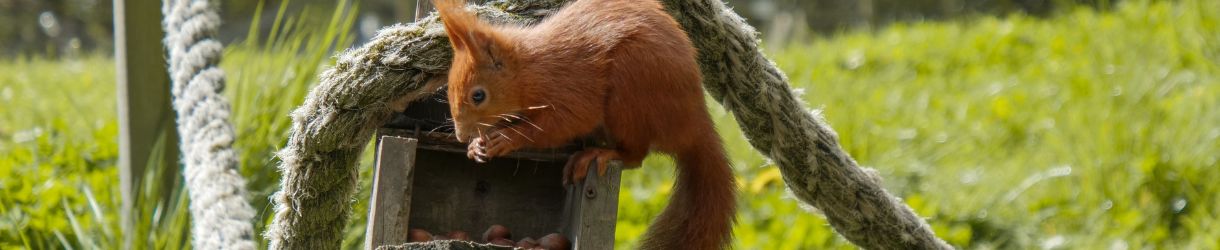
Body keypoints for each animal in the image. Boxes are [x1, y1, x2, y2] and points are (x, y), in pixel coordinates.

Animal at [434, 0, 736, 247]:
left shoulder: (573, 88)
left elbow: (564, 123)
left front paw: (507, 138)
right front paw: (476, 145)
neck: (529, 70)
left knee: (636, 155)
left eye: (478, 95)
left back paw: (599, 154)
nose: (461, 136)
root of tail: (694, 124)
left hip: (632, 89)